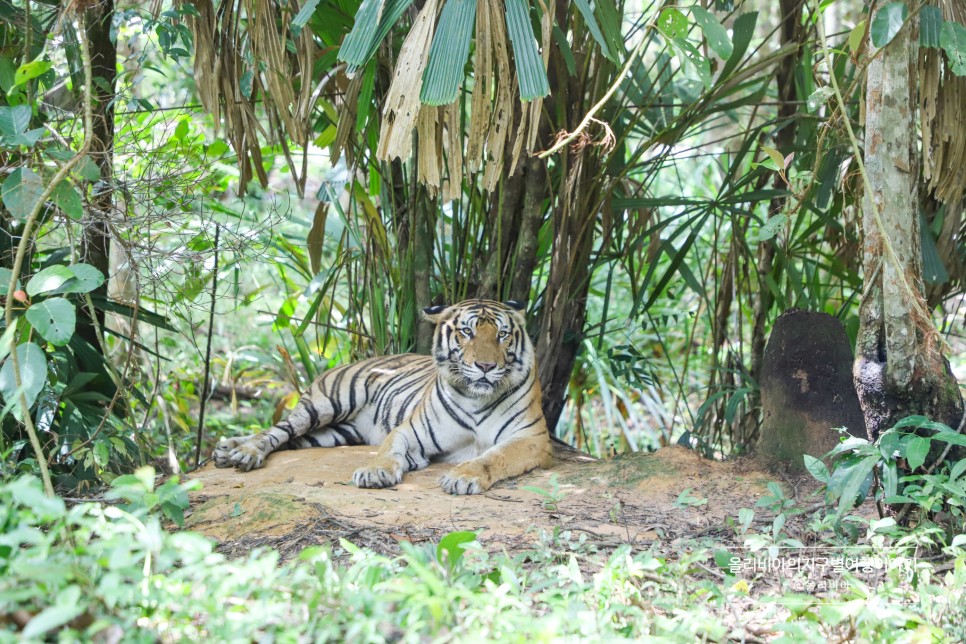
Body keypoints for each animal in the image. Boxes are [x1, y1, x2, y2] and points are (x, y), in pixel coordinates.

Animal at [216, 300, 556, 496]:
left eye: (502, 335)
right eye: (467, 332)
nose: (486, 366)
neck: (475, 397)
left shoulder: (531, 438)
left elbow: (493, 456)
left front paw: (463, 476)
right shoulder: (410, 429)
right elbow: (388, 448)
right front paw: (375, 472)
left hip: (334, 433)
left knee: (291, 440)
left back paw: (227, 449)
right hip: (325, 405)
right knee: (277, 431)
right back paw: (241, 452)